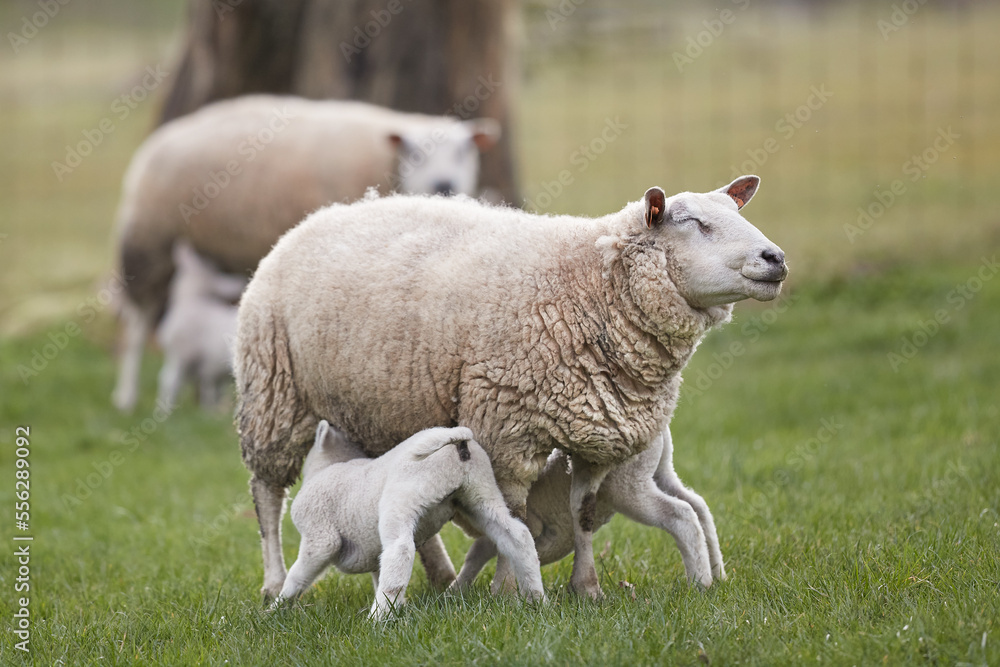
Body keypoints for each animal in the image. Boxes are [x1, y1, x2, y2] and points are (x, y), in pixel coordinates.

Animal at [272, 420, 544, 619]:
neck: (328, 466)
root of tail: (455, 437)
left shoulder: (320, 537)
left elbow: (297, 576)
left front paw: (275, 609)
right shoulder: (370, 553)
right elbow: (376, 575)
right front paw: (398, 606)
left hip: (404, 496)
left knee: (400, 549)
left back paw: (377, 620)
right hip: (481, 493)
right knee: (517, 536)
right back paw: (536, 597)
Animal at [451, 427, 721, 593]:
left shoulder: (531, 522)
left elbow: (484, 552)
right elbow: (479, 553)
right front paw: (457, 590)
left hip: (628, 485)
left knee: (682, 514)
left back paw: (700, 583)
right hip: (661, 471)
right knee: (699, 505)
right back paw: (717, 573)